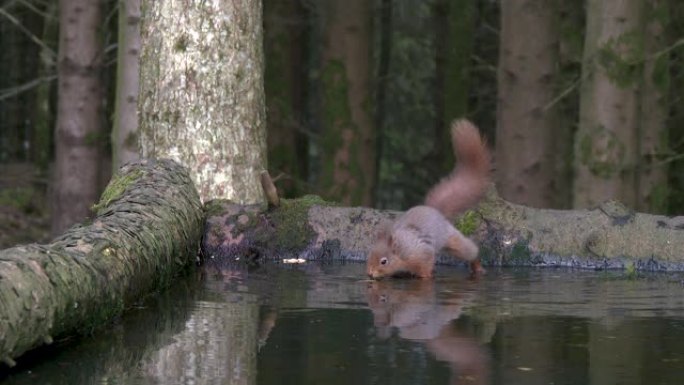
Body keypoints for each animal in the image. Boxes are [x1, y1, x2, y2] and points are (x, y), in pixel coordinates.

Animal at [366, 118, 488, 278]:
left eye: (384, 261)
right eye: (369, 255)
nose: (370, 273)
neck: (403, 251)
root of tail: (434, 210)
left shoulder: (421, 253)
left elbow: (425, 267)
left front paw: (427, 276)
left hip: (451, 238)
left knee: (471, 251)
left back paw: (477, 267)